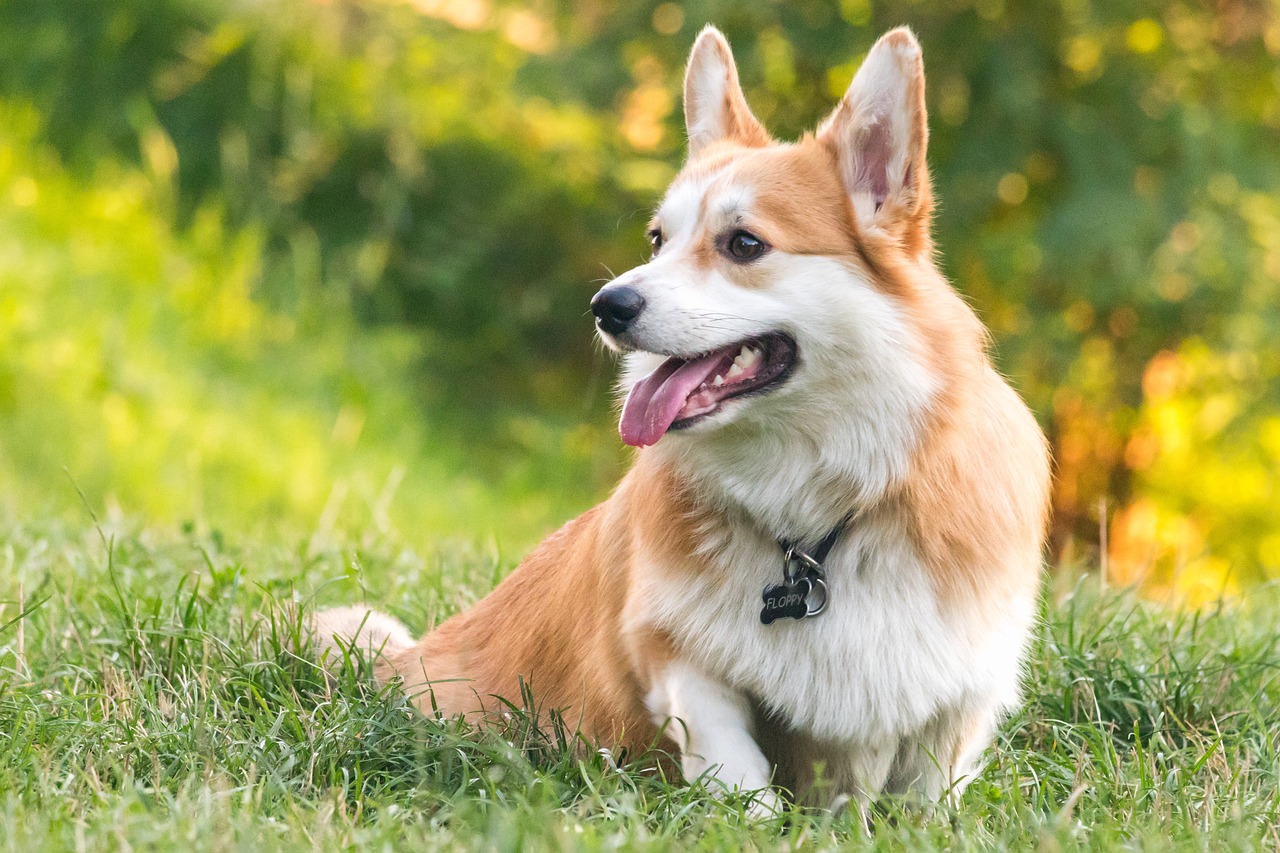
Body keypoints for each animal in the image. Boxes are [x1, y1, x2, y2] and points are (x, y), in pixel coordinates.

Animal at [312, 24, 1049, 809]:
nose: (607, 306)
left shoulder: (957, 700)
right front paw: (751, 817)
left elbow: (925, 795)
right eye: (657, 239)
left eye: (745, 244)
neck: (819, 521)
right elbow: (736, 765)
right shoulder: (677, 658)